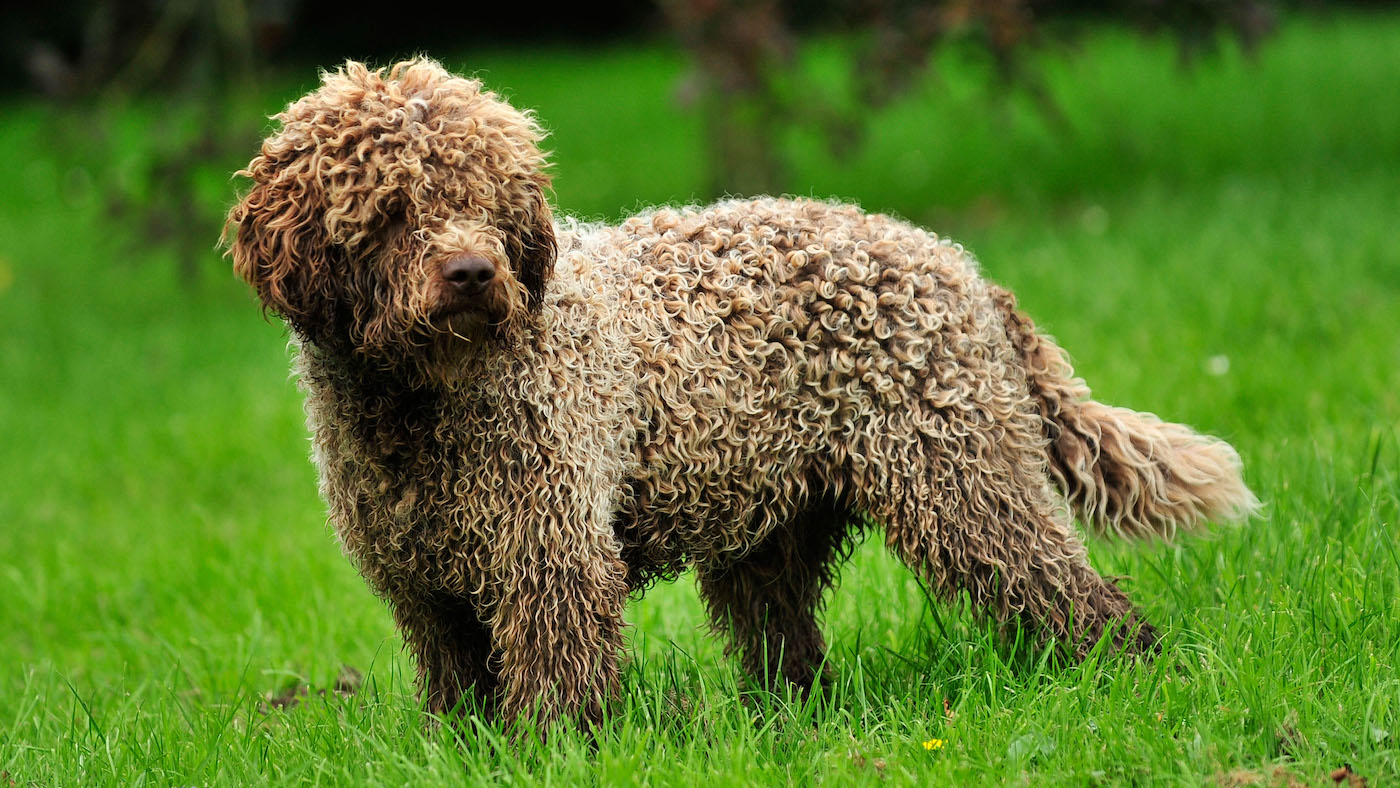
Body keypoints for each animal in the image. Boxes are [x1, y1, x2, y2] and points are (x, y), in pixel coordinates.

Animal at [226, 58, 1260, 733]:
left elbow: (557, 688)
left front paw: (555, 752)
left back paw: (1130, 675)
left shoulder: (549, 555)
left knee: (1066, 589)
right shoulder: (423, 586)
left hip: (961, 477)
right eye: (390, 210)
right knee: (788, 645)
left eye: (491, 198)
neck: (416, 406)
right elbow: (457, 692)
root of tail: (955, 264)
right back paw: (788, 724)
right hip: (776, 530)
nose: (475, 274)